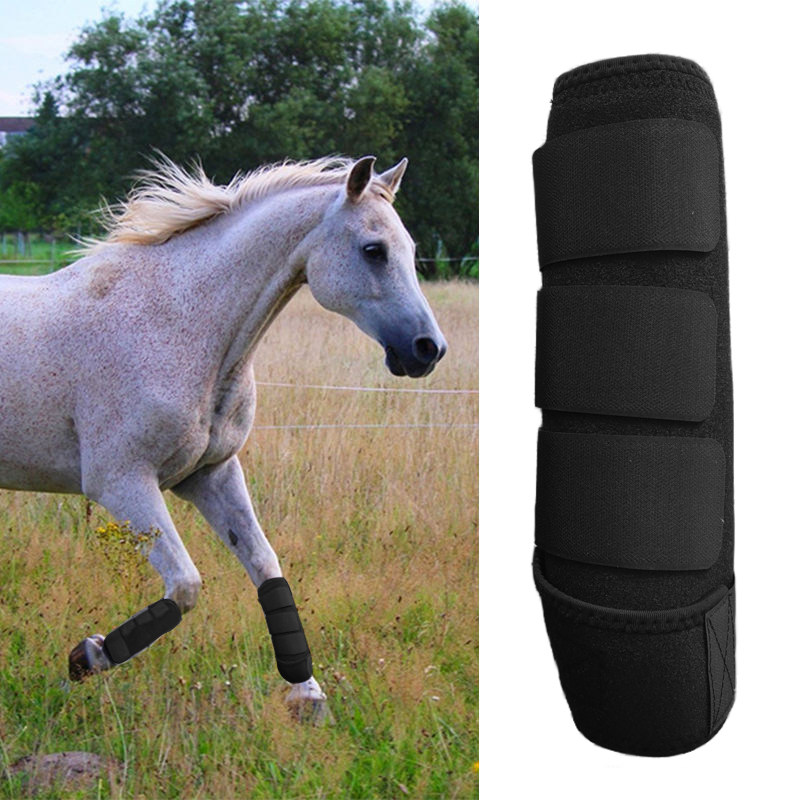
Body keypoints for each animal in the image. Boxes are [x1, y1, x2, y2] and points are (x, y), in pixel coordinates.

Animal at [0, 155, 447, 718]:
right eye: (373, 249)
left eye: (410, 248)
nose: (427, 349)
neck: (180, 324)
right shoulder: (120, 483)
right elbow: (185, 586)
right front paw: (86, 657)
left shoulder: (211, 475)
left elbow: (265, 567)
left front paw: (307, 695)